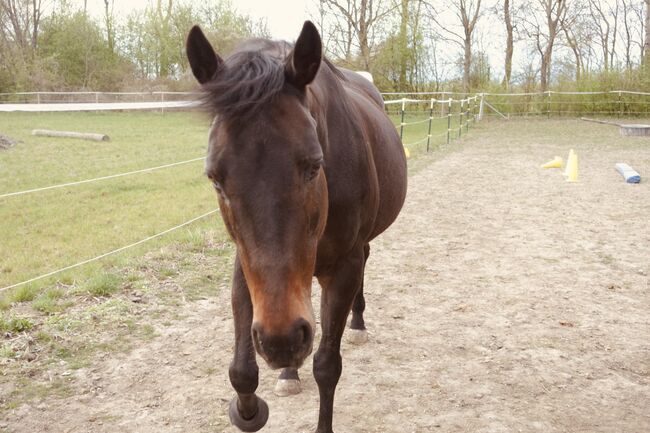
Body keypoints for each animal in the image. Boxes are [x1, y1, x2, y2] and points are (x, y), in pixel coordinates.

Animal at [186, 21, 407, 433]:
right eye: (215, 178)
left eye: (314, 165)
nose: (282, 340)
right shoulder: (246, 264)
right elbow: (241, 371)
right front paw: (248, 411)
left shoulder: (343, 268)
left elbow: (327, 367)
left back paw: (357, 322)